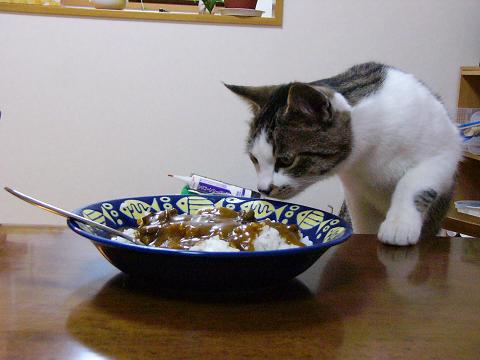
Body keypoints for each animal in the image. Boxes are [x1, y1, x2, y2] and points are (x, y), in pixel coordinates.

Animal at [225, 62, 462, 248]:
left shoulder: (444, 151)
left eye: (286, 160)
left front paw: (399, 224)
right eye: (254, 159)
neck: (367, 155)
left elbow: (412, 183)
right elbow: (363, 223)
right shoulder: (357, 195)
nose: (263, 189)